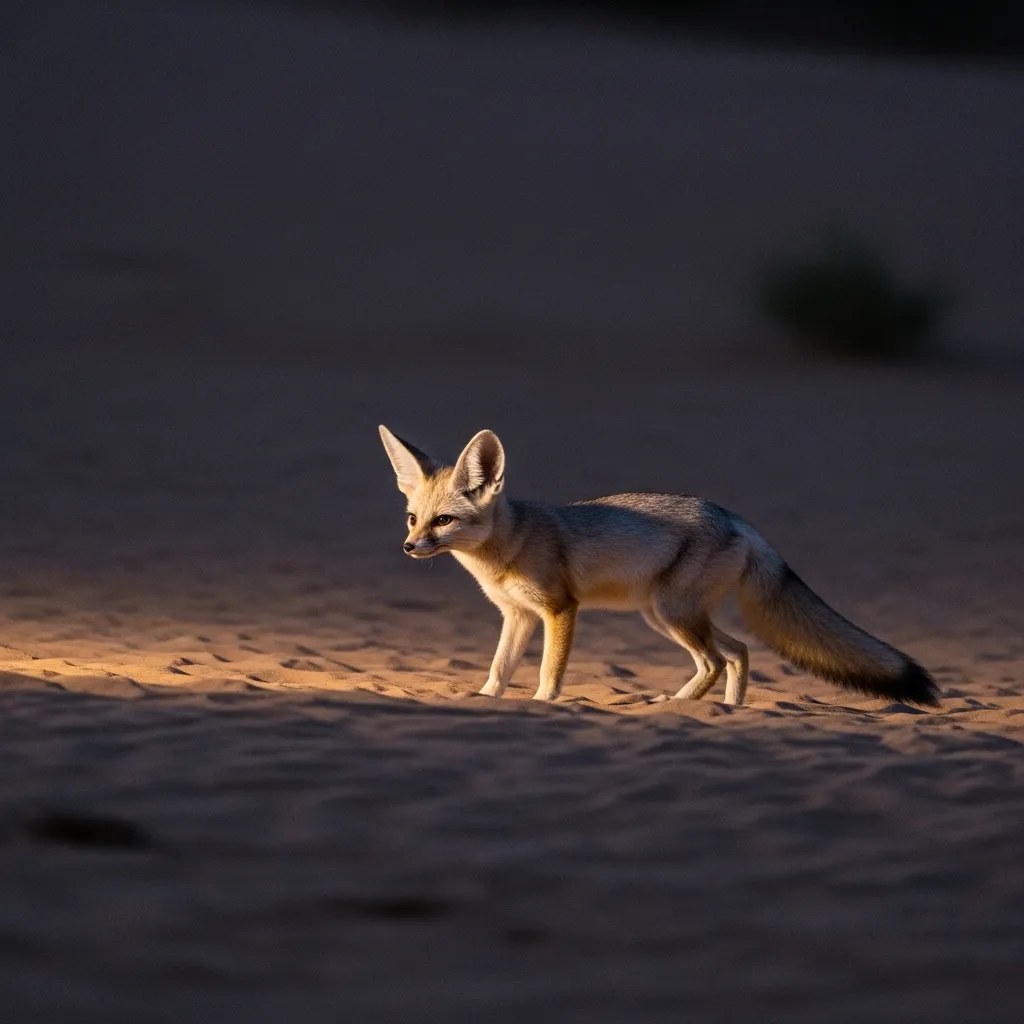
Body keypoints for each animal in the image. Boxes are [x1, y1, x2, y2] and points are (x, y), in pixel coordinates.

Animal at [378, 425, 938, 708]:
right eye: (412, 517)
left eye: (444, 520)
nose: (408, 547)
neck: (508, 546)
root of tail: (736, 517)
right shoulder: (516, 616)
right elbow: (499, 667)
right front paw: (485, 699)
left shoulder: (560, 610)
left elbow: (548, 671)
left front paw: (544, 704)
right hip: (667, 616)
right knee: (738, 653)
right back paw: (724, 711)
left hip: (672, 615)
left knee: (717, 659)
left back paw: (675, 707)